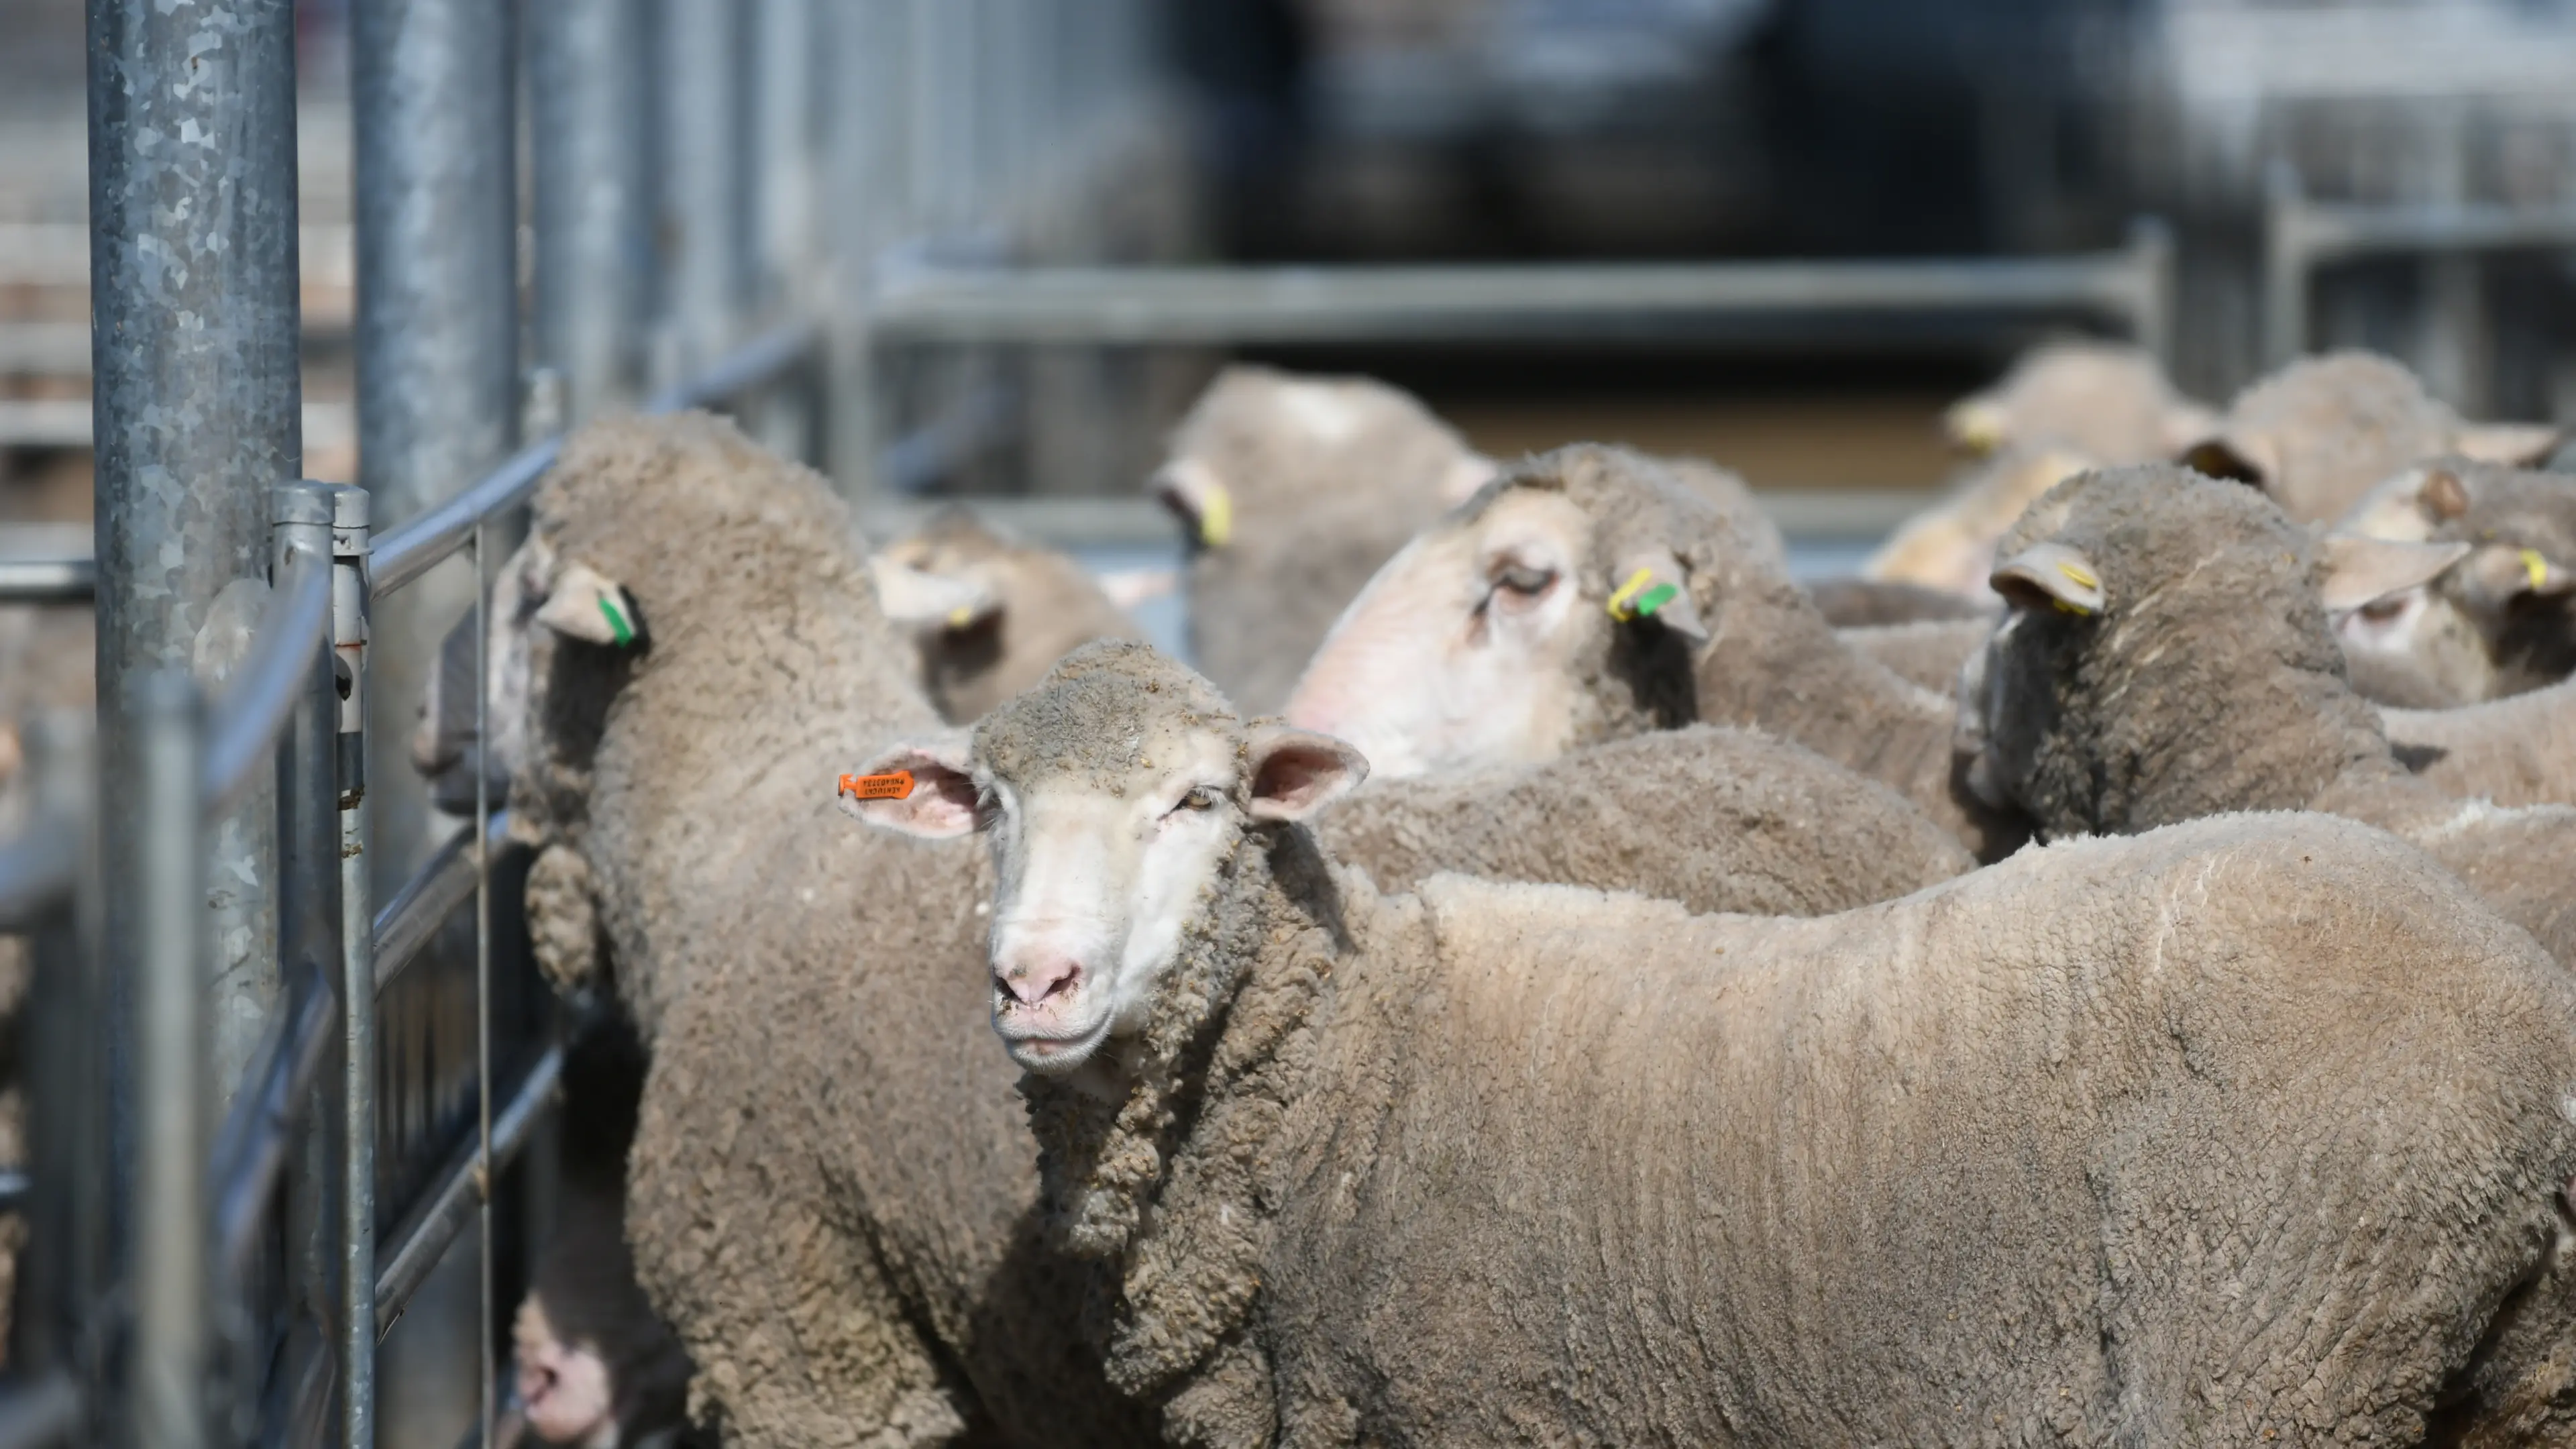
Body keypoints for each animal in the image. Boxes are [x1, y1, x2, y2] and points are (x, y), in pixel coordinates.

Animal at [853, 638, 2576, 1449]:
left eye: (1200, 801)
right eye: (988, 802)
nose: (1036, 979)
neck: (1350, 1064)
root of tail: (2527, 1021)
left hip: (2275, 1351)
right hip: (2509, 1374)